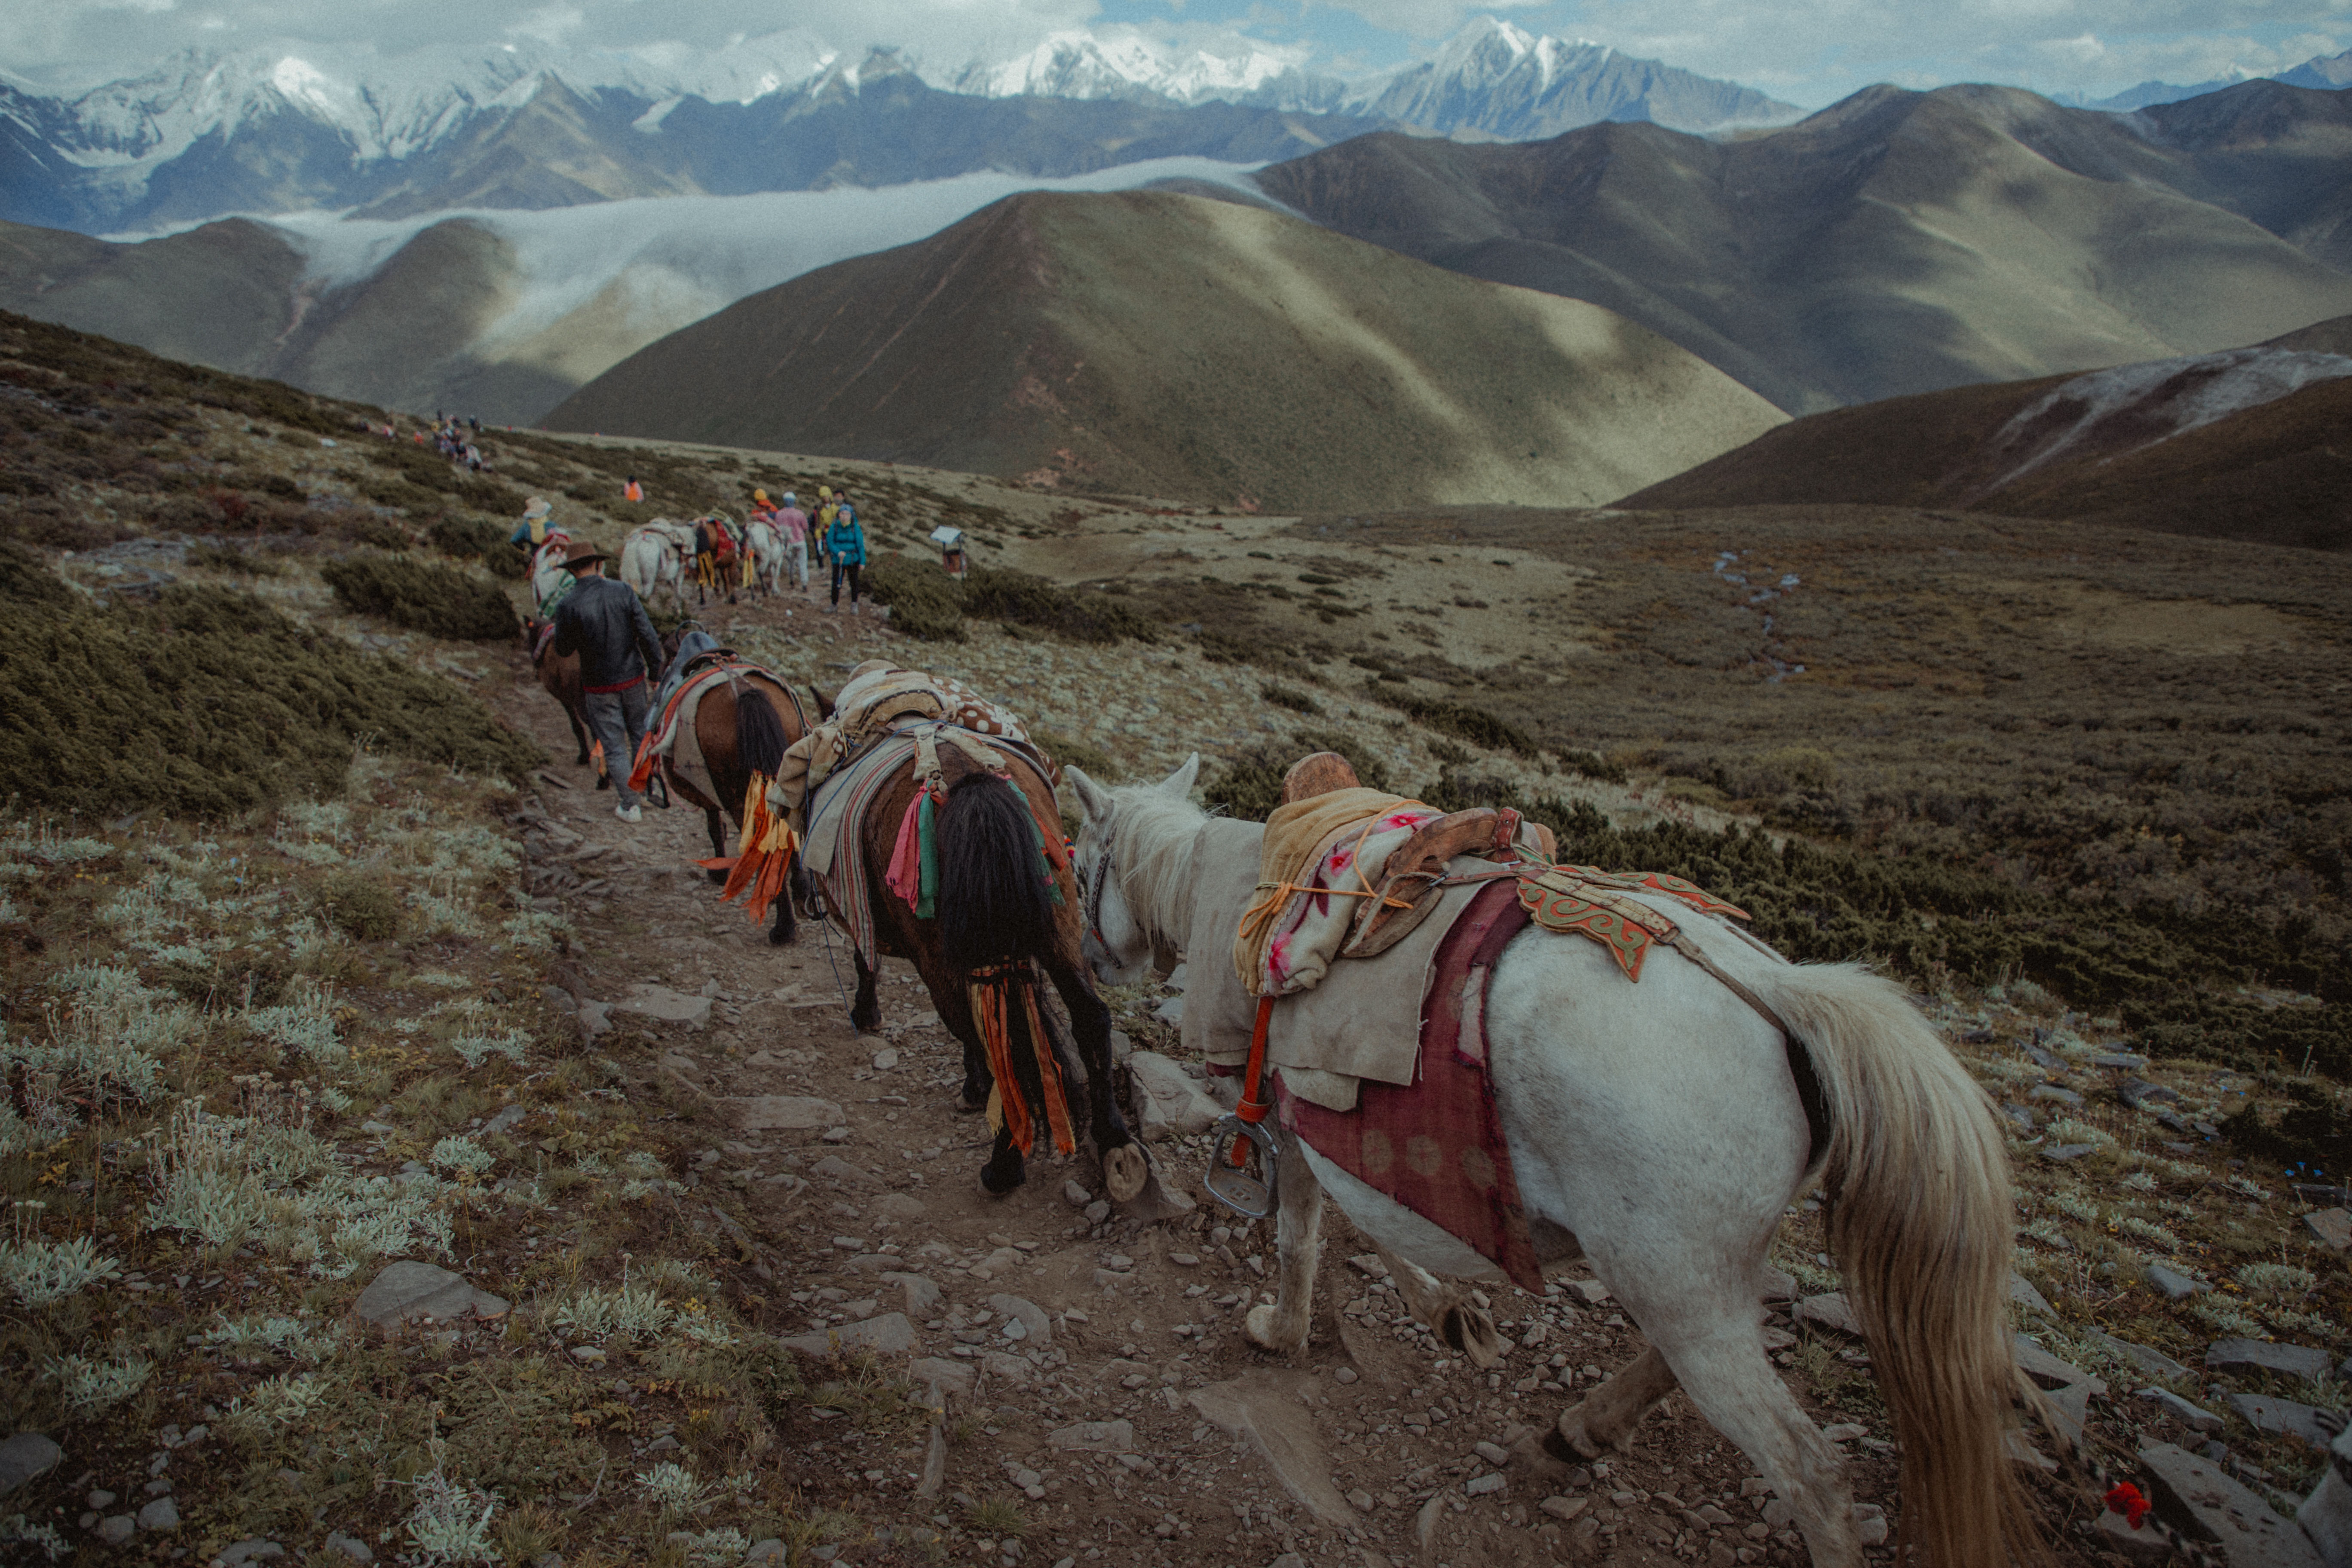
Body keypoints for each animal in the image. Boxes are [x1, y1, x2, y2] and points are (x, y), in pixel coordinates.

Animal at [846, 738, 1148, 1204]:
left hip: (942, 955)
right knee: (1089, 1017)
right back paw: (1115, 1141)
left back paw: (1003, 1167)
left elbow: (865, 960)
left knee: (991, 1041)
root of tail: (972, 781)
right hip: (1063, 924)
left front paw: (866, 1014)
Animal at [1072, 762, 2041, 1568]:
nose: (1090, 961)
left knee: (1813, 1478)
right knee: (1688, 1358)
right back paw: (1575, 1432)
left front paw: (1298, 1326)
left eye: (1082, 865)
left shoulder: (1290, 1114)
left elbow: (1307, 1233)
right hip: (1694, 1281)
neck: (1231, 888)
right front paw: (1444, 1311)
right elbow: (1347, 1226)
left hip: (1675, 1283)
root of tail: (1781, 997)